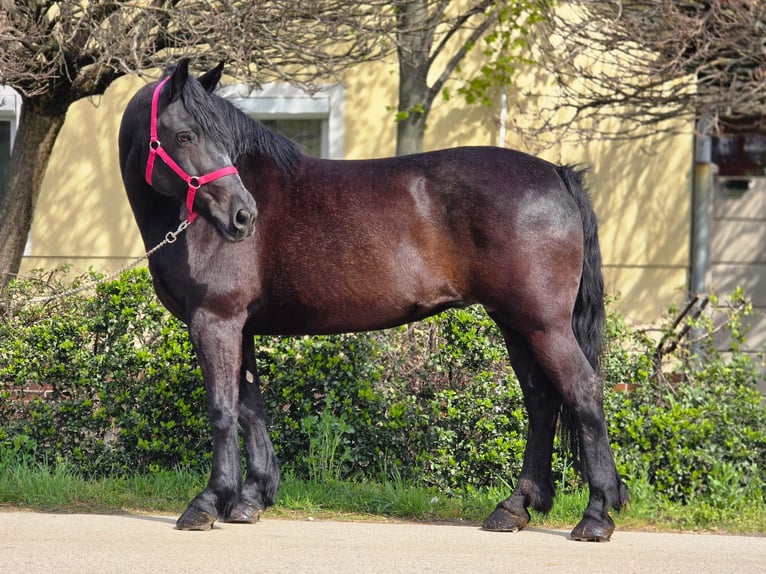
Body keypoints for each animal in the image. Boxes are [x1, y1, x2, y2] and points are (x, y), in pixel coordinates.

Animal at [118, 59, 627, 541]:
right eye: (185, 135)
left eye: (215, 136)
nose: (243, 216)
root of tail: (556, 174)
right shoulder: (238, 327)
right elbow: (249, 407)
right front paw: (251, 499)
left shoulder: (215, 320)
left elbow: (222, 409)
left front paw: (208, 503)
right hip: (515, 323)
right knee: (541, 402)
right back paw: (514, 508)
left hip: (544, 324)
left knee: (582, 390)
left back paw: (596, 515)